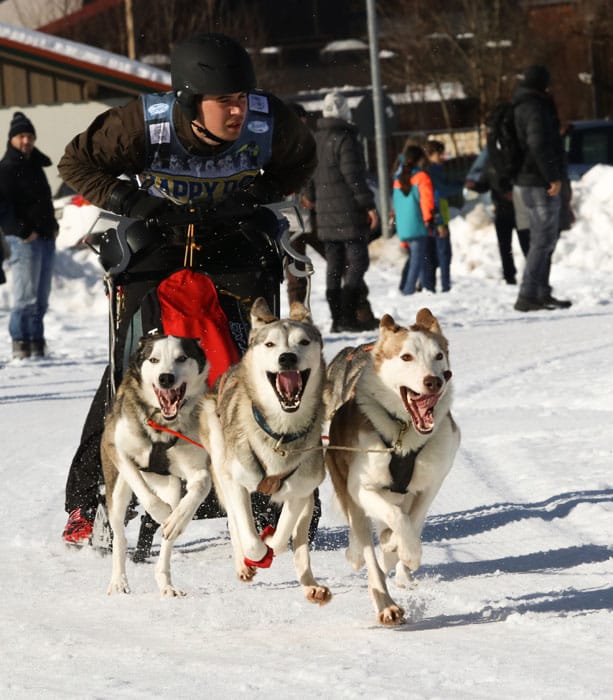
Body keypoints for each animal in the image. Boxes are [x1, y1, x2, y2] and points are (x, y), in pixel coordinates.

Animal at [101, 334, 212, 596]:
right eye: (154, 359)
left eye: (182, 358)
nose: (166, 378)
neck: (162, 423)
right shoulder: (116, 449)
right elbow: (145, 494)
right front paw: (162, 512)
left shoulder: (196, 466)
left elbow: (201, 485)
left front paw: (178, 518)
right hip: (116, 491)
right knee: (119, 536)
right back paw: (118, 581)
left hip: (171, 485)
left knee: (166, 541)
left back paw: (166, 582)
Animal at [202, 298, 332, 604]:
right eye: (270, 344)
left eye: (303, 341)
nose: (287, 358)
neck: (280, 433)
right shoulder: (235, 482)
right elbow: (248, 535)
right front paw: (257, 554)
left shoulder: (301, 491)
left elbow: (284, 535)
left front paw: (272, 540)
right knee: (236, 524)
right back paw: (244, 564)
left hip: (310, 499)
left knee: (300, 545)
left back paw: (311, 585)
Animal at [326, 308, 460, 628]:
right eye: (406, 357)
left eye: (438, 356)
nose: (433, 381)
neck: (403, 432)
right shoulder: (361, 487)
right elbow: (396, 518)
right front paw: (408, 552)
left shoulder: (431, 483)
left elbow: (413, 520)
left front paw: (400, 551)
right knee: (365, 544)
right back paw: (386, 603)